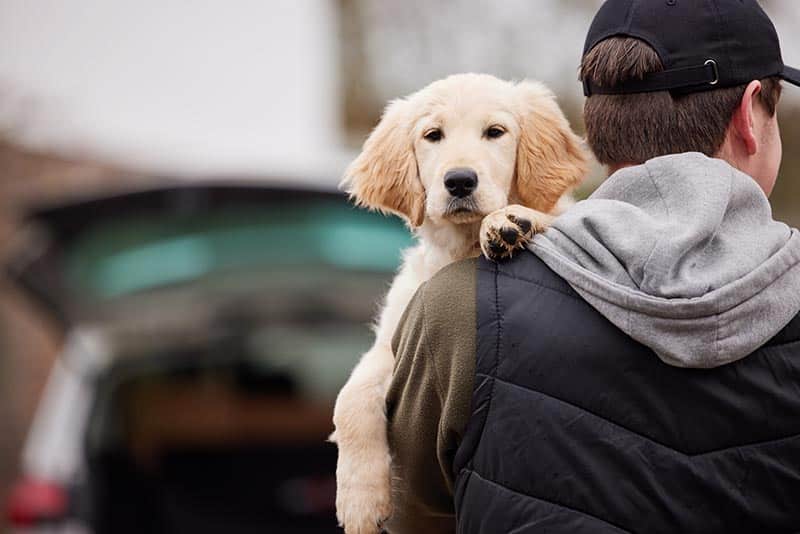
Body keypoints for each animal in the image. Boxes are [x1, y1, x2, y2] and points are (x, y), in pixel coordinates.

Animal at [332, 73, 588, 532]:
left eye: (495, 132)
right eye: (433, 135)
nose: (460, 181)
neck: (461, 247)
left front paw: (510, 222)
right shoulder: (392, 344)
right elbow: (350, 398)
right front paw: (359, 501)